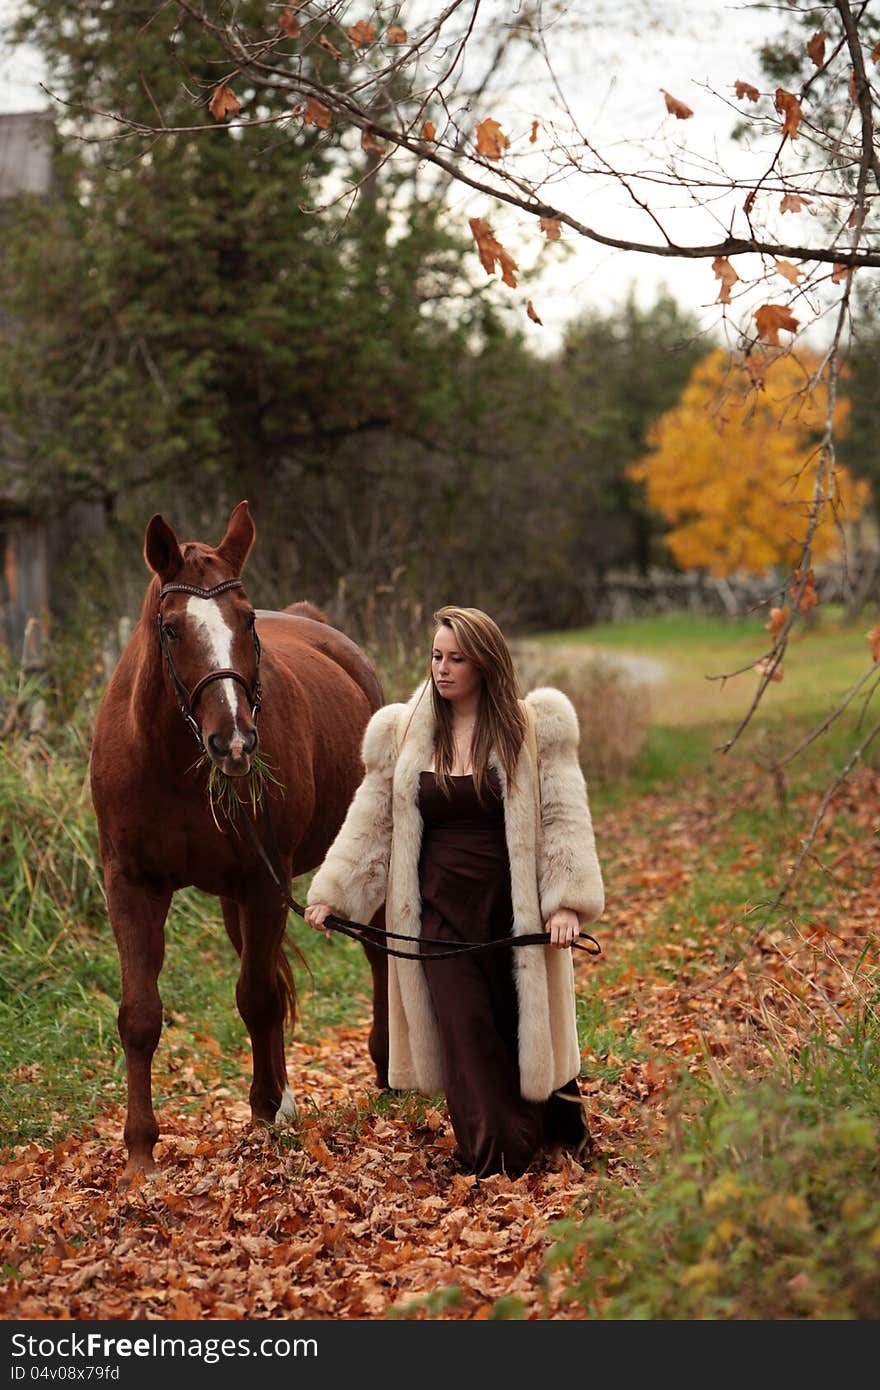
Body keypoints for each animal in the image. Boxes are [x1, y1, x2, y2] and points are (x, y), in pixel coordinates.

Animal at [88, 500, 386, 1173]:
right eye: (172, 629)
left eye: (246, 620)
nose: (235, 741)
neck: (173, 762)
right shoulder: (132, 884)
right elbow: (140, 1014)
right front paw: (140, 1153)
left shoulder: (262, 882)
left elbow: (256, 997)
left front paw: (263, 1113)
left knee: (377, 955)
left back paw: (386, 1076)